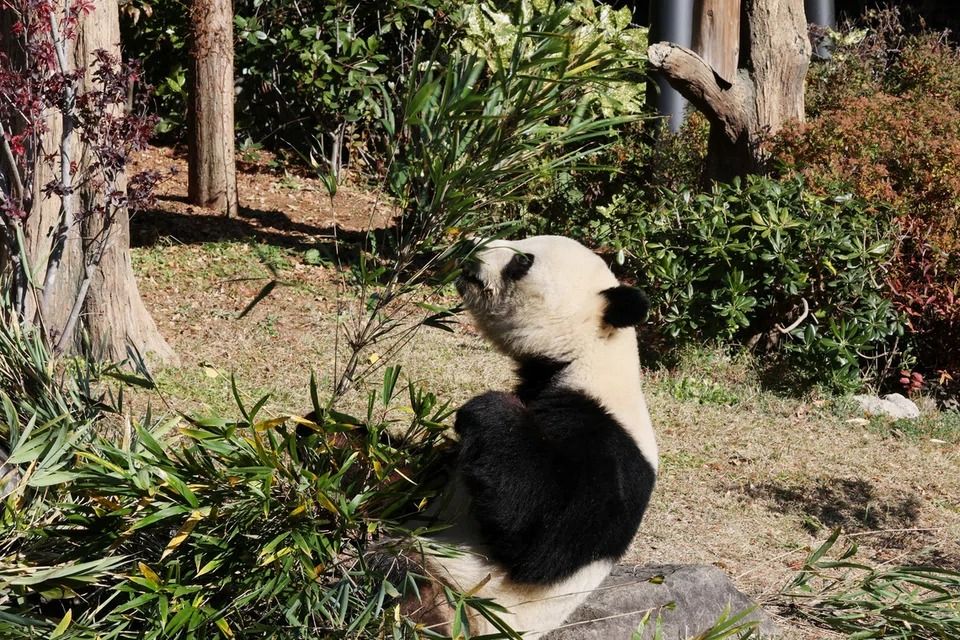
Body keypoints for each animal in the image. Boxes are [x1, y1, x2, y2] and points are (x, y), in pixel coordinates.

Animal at [406, 235, 658, 639]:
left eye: (522, 261)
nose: (470, 246)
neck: (585, 357)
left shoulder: (607, 443)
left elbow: (546, 539)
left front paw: (492, 409)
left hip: (458, 600)